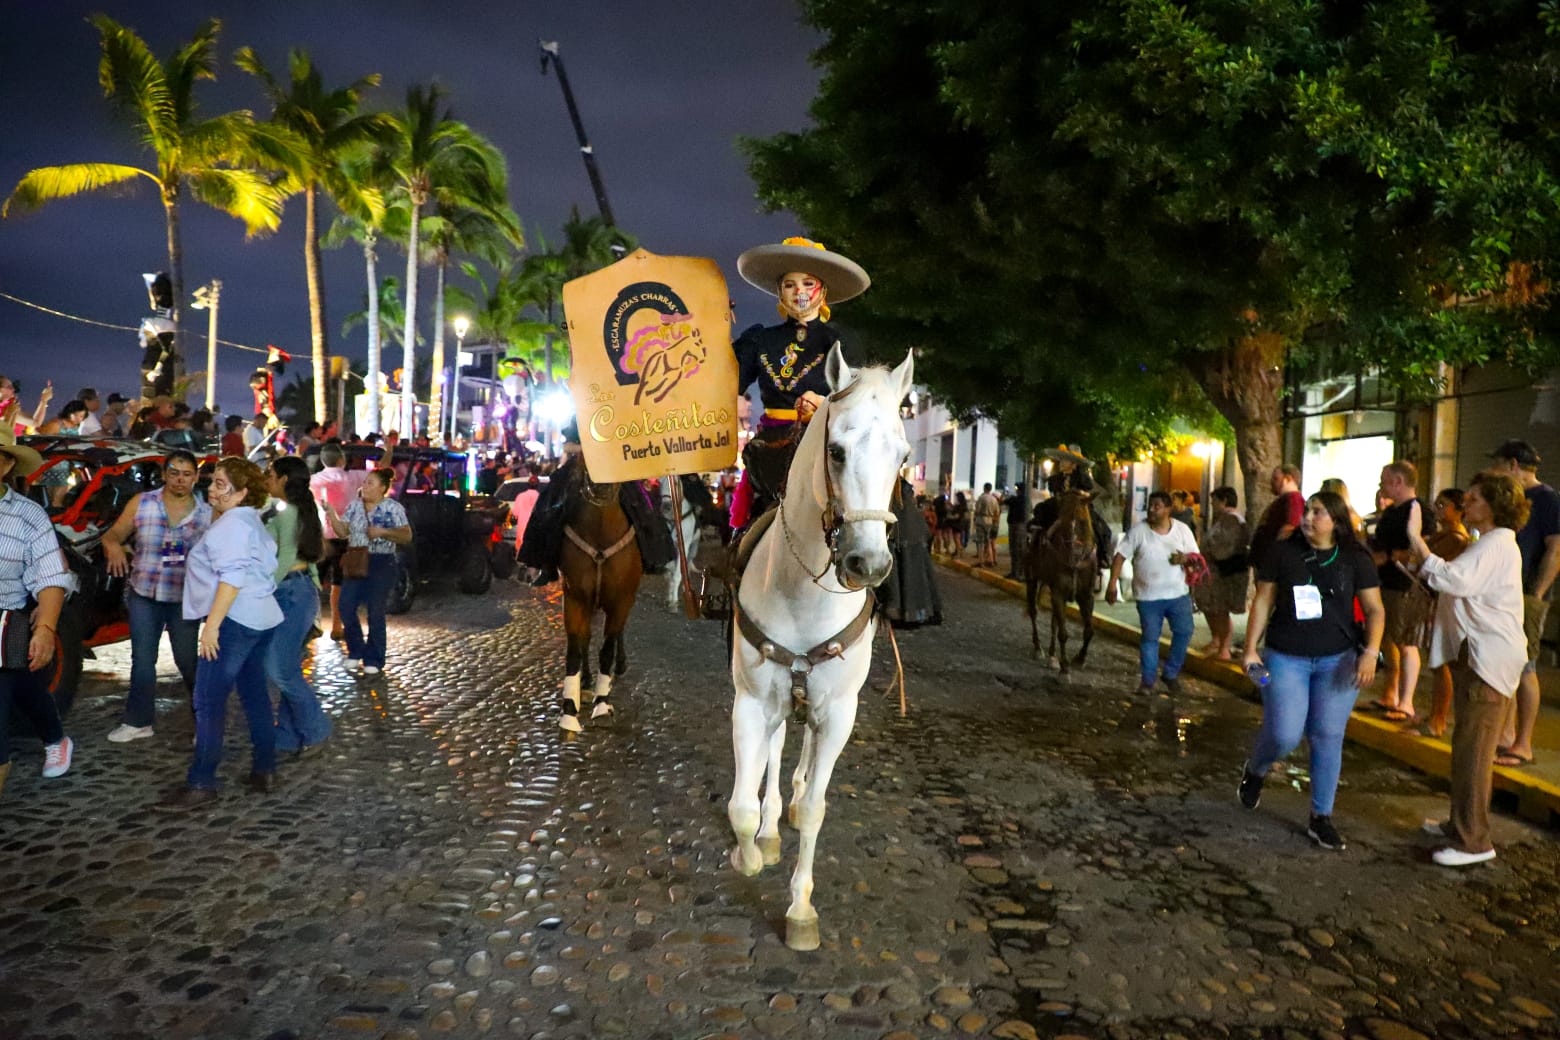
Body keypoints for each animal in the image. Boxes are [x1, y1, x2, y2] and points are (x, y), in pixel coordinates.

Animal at [558, 464, 642, 732]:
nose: (601, 485)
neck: (601, 532)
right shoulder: (574, 598)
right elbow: (576, 647)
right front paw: (570, 708)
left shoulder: (621, 601)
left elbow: (607, 648)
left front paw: (602, 704)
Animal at [1023, 489, 1098, 676]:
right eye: (1061, 523)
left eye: (1083, 522)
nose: (1072, 557)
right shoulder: (1058, 592)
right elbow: (1063, 633)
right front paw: (1065, 668)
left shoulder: (1086, 595)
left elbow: (1089, 630)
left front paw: (1080, 658)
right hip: (1032, 580)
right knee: (1034, 612)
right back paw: (1039, 648)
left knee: (1054, 620)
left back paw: (1052, 654)